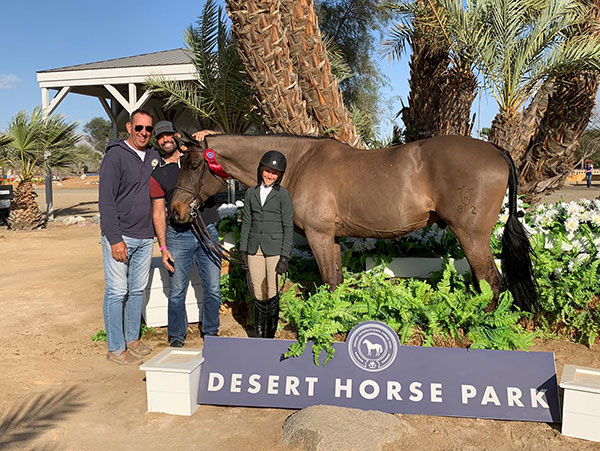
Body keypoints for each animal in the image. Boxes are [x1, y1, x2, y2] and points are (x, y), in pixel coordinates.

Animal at [171, 132, 536, 312]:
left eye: (192, 164)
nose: (176, 210)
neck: (300, 163)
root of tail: (495, 149)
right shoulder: (330, 237)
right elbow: (337, 281)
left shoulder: (318, 235)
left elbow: (330, 281)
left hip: (471, 236)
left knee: (491, 280)